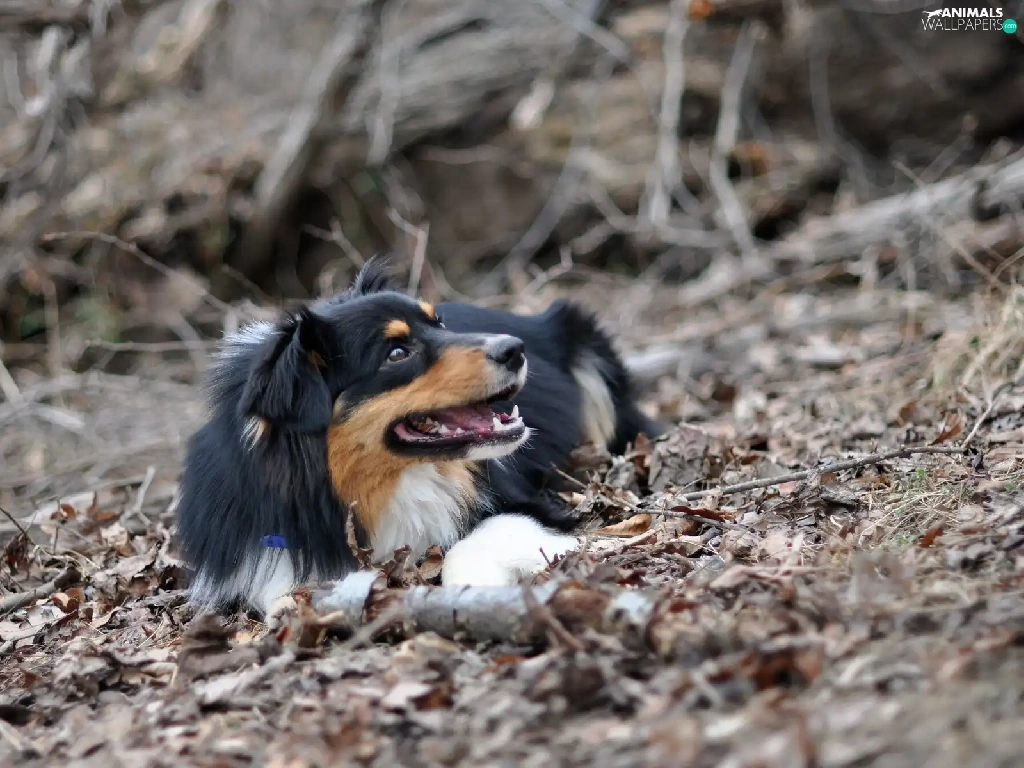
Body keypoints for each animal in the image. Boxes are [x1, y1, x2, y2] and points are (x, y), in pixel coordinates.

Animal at [176, 259, 662, 617]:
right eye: (397, 352)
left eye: (439, 324)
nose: (515, 349)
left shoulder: (523, 501)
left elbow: (476, 536)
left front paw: (478, 588)